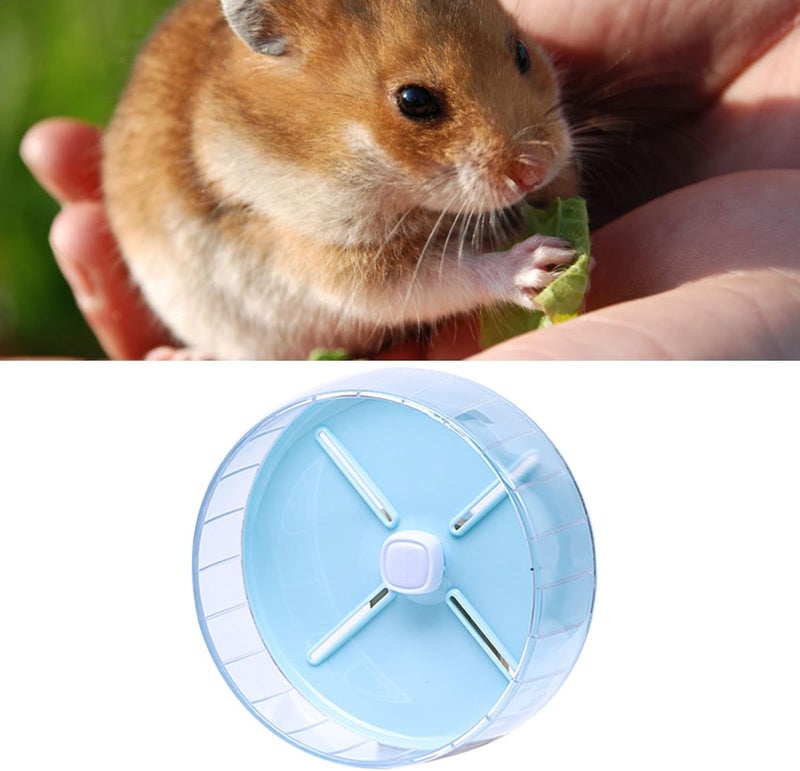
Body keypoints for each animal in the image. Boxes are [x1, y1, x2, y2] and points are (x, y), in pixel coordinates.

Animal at [103, 0, 577, 359]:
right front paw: (545, 263)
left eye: (522, 53)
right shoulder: (338, 263)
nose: (536, 169)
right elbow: (448, 274)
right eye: (414, 100)